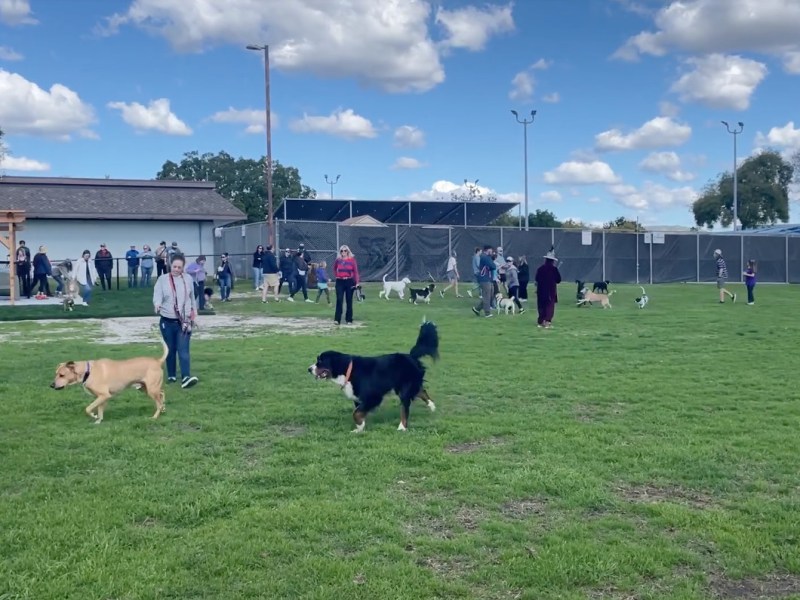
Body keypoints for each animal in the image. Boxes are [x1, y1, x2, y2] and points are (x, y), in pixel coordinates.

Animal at [310, 318, 440, 432]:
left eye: (320, 361)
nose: (309, 369)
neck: (348, 370)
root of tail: (411, 356)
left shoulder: (373, 396)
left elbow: (356, 413)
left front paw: (359, 426)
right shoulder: (359, 399)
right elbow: (358, 412)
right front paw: (359, 428)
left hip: (404, 388)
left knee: (405, 408)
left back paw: (402, 427)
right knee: (422, 391)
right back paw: (432, 406)